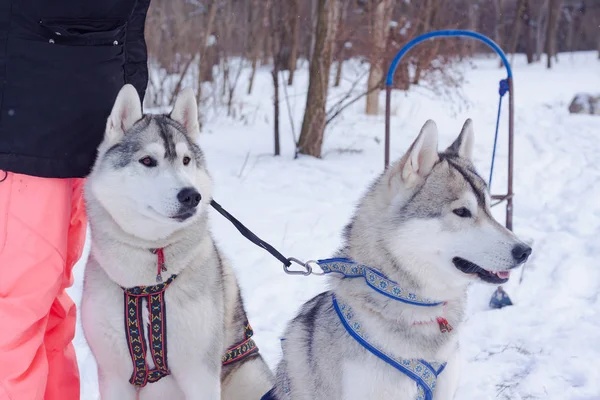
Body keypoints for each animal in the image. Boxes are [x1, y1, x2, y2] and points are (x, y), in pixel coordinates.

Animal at [81, 85, 274, 400]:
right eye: (148, 161)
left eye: (186, 161)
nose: (191, 195)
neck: (147, 283)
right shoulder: (113, 374)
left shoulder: (200, 372)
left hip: (251, 378)